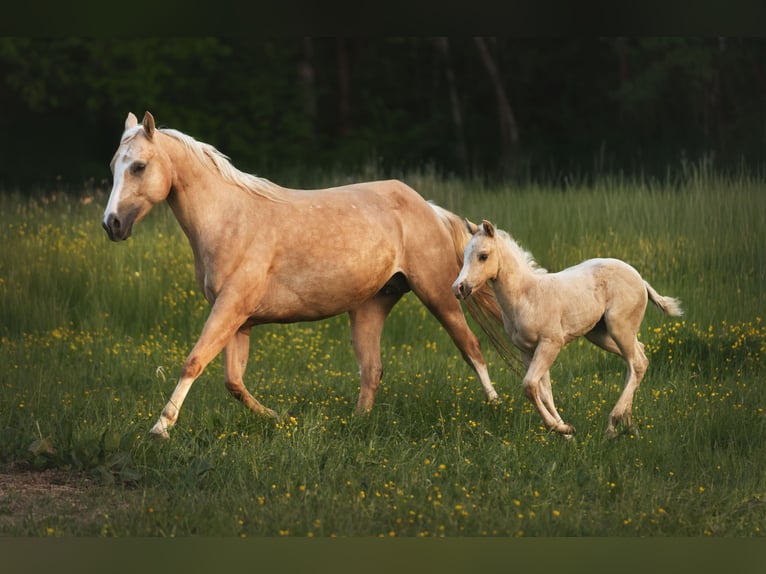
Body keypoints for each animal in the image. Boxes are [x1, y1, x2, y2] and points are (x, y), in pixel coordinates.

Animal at [102, 111, 518, 438]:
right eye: (113, 167)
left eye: (138, 166)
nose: (112, 224)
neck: (230, 219)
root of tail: (427, 207)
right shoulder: (238, 320)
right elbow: (233, 382)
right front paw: (278, 418)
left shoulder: (230, 309)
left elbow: (194, 361)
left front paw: (160, 428)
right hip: (370, 307)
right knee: (372, 370)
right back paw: (356, 425)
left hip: (438, 294)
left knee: (471, 348)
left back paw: (496, 406)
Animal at [452, 219, 683, 439]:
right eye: (464, 254)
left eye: (483, 256)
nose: (458, 288)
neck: (527, 296)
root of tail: (640, 278)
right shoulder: (527, 350)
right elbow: (544, 392)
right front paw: (567, 432)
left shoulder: (550, 344)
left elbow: (529, 385)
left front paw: (559, 428)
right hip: (600, 335)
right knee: (637, 358)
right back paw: (628, 424)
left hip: (620, 328)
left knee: (638, 363)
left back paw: (613, 424)